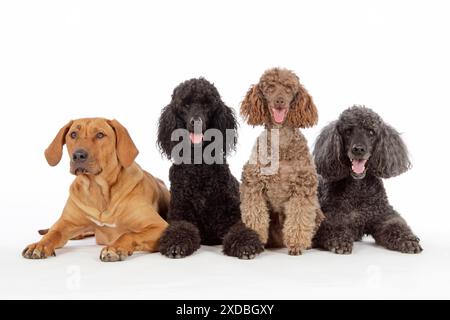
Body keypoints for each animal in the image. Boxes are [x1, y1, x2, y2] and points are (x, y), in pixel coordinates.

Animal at [21, 119, 169, 262]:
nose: (78, 155)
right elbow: (53, 233)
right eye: (73, 134)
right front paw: (39, 245)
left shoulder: (159, 226)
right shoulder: (66, 223)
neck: (97, 189)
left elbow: (129, 234)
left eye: (100, 135)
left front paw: (115, 248)